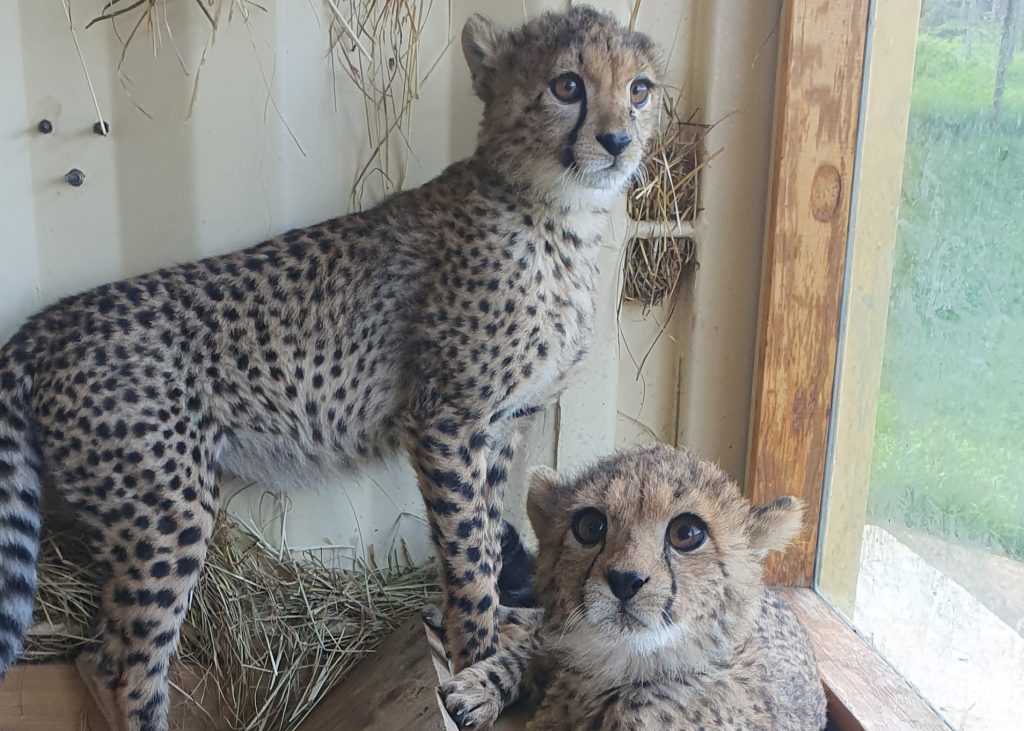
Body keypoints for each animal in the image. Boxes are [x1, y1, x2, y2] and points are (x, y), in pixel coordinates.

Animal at [0, 6, 660, 731]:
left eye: (639, 90)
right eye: (568, 85)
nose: (618, 140)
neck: (554, 210)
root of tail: (48, 323)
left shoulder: (501, 425)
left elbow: (487, 538)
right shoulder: (446, 422)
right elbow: (467, 555)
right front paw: (476, 660)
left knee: (94, 654)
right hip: (164, 512)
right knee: (123, 668)